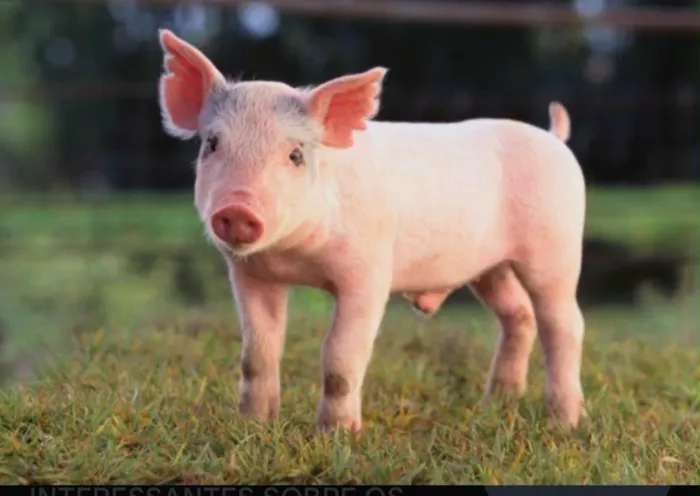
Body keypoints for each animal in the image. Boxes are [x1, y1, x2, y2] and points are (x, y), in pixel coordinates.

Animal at [156, 29, 587, 432]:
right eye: (212, 144)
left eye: (295, 154)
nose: (237, 209)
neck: (295, 256)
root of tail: (554, 138)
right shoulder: (251, 275)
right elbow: (257, 353)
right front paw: (254, 425)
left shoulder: (368, 272)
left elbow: (340, 355)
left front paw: (336, 435)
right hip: (491, 268)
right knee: (519, 315)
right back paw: (497, 404)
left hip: (557, 247)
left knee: (563, 323)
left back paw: (564, 423)